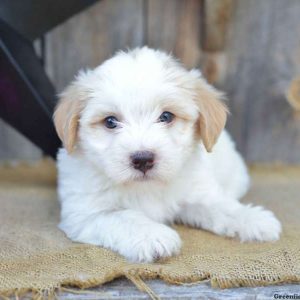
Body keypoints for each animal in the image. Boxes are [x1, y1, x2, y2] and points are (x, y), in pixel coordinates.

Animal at [53, 47, 282, 262]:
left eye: (166, 116)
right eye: (110, 121)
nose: (143, 159)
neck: (147, 188)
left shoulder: (197, 192)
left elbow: (222, 207)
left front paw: (253, 219)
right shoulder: (85, 213)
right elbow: (122, 217)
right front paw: (152, 236)